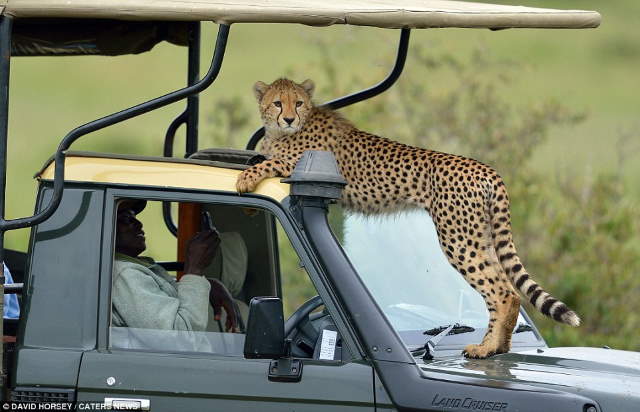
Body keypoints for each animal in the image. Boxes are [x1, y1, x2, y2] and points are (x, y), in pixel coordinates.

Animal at [238, 79, 584, 358]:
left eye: (297, 102)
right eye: (277, 102)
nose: (288, 117)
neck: (289, 129)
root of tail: (485, 168)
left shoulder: (300, 164)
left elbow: (268, 162)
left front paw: (244, 177)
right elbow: (262, 154)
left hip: (458, 239)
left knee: (502, 291)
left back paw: (485, 348)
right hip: (478, 236)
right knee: (507, 289)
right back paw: (499, 346)